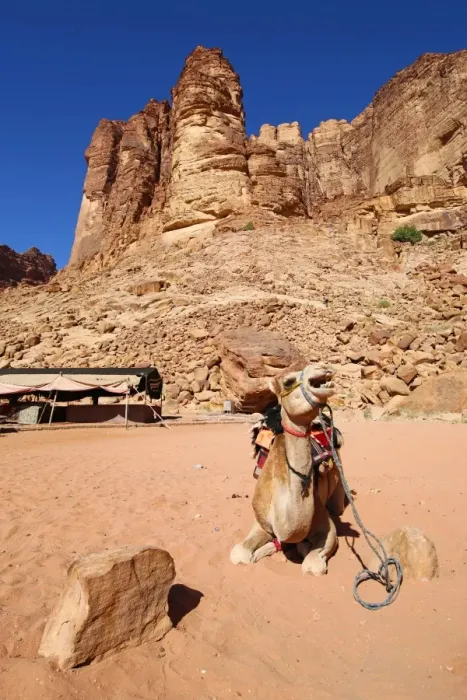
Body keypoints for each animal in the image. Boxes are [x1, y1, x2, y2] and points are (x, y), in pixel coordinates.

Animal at [230, 363, 347, 576]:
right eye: (288, 381)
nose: (323, 369)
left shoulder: (326, 528)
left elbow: (311, 564)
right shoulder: (261, 521)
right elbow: (239, 554)